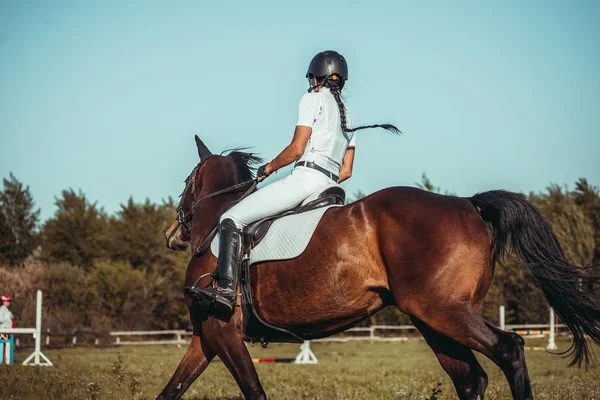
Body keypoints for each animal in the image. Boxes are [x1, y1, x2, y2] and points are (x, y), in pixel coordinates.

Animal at [159, 136, 600, 398]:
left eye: (187, 181)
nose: (173, 234)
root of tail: (469, 204)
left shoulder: (221, 331)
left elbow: (253, 391)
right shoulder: (206, 336)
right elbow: (172, 389)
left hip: (444, 311)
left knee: (509, 349)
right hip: (434, 318)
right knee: (470, 378)